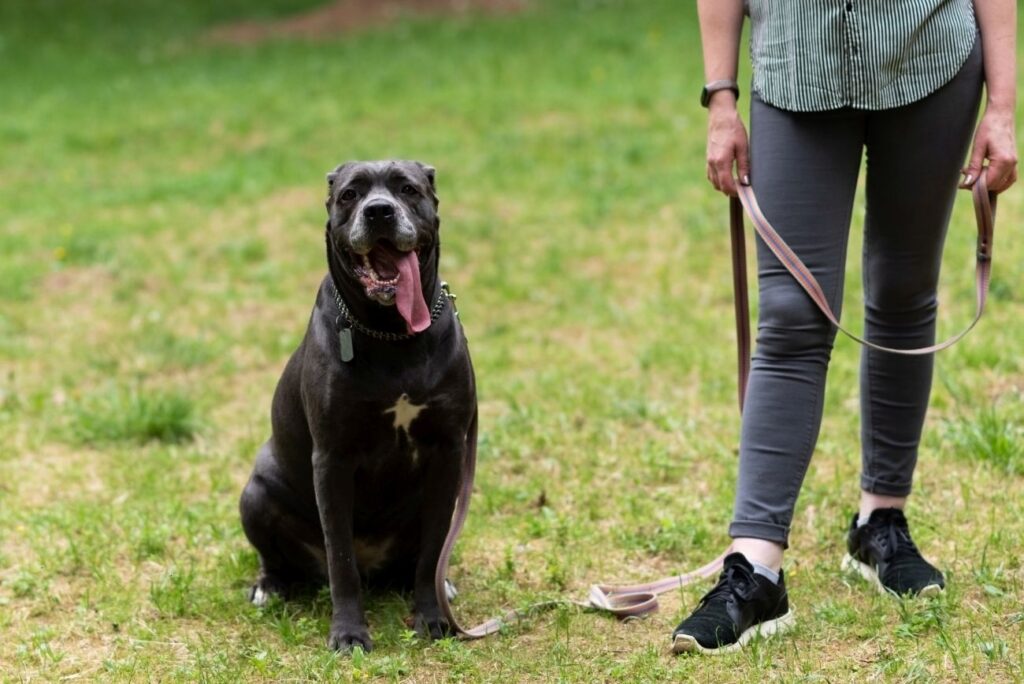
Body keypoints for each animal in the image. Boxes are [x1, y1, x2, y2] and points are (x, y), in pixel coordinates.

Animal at [239, 160, 475, 651]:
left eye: (408, 189)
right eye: (350, 194)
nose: (379, 212)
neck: (392, 334)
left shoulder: (448, 452)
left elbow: (432, 550)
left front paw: (432, 618)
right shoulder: (332, 459)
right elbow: (341, 559)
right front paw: (348, 633)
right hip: (255, 493)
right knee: (281, 558)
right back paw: (270, 586)